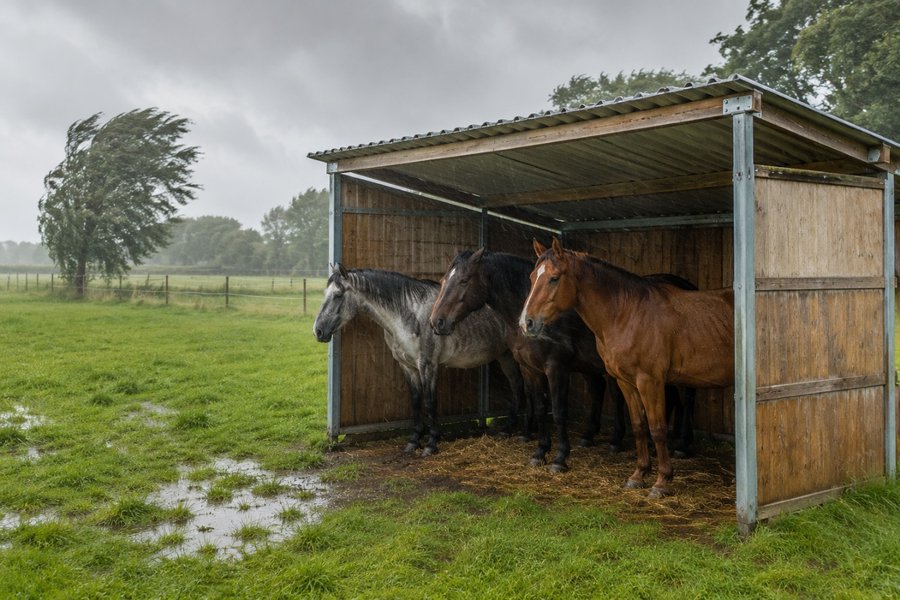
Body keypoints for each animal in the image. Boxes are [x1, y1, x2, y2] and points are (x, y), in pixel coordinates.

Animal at [313, 264, 527, 457]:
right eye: (325, 293)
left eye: (338, 295)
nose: (318, 331)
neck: (409, 315)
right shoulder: (408, 366)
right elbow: (416, 401)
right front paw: (413, 442)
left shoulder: (428, 365)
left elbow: (430, 402)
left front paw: (431, 444)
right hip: (505, 357)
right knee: (516, 386)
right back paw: (507, 429)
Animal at [430, 249, 696, 473]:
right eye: (443, 282)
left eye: (464, 280)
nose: (437, 321)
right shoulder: (530, 369)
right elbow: (540, 408)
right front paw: (540, 452)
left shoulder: (556, 368)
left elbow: (558, 412)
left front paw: (559, 458)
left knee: (686, 399)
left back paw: (682, 445)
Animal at [520, 238, 734, 498]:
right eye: (532, 277)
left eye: (554, 278)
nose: (526, 323)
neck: (628, 314)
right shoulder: (626, 382)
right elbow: (640, 426)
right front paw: (639, 474)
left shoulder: (649, 381)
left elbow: (657, 428)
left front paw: (662, 481)